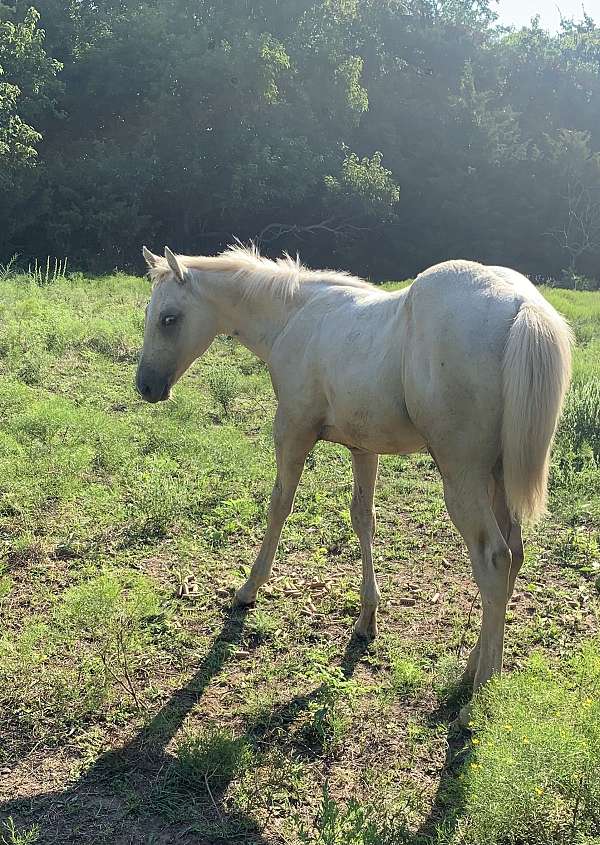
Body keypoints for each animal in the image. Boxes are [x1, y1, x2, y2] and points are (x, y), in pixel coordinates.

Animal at [137, 242, 572, 712]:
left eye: (169, 318)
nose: (146, 387)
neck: (294, 315)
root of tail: (523, 305)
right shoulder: (364, 447)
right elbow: (364, 518)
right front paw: (367, 620)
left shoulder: (292, 428)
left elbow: (279, 505)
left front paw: (249, 589)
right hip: (497, 475)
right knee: (514, 555)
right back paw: (474, 667)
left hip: (463, 476)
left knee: (494, 558)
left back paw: (476, 698)